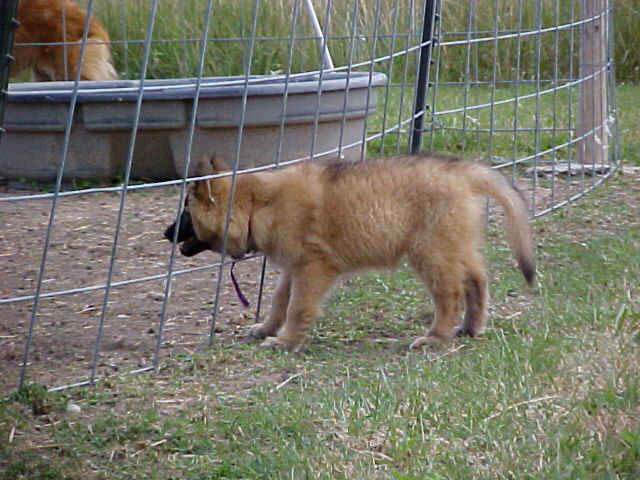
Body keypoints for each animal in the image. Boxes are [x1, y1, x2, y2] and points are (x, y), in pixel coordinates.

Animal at [169, 154, 536, 352]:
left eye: (186, 210)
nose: (165, 233)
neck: (260, 204)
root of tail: (461, 171)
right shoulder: (295, 267)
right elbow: (279, 300)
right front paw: (268, 329)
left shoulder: (313, 268)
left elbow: (298, 307)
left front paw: (287, 341)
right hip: (455, 246)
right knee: (477, 281)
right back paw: (471, 327)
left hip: (430, 253)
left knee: (450, 294)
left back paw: (435, 337)